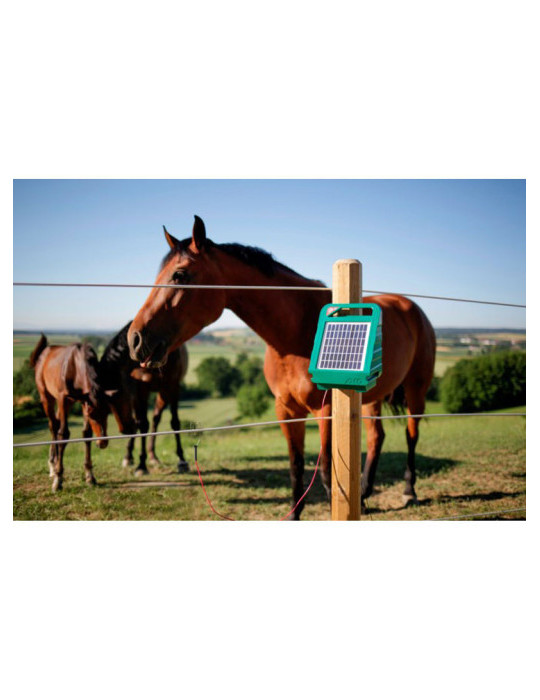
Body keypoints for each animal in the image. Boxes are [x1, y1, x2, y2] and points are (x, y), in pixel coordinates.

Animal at [30, 334, 110, 492]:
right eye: (93, 416)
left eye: (107, 414)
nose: (103, 443)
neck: (76, 366)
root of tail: (44, 352)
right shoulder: (63, 398)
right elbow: (64, 434)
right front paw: (58, 479)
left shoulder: (83, 402)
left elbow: (86, 434)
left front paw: (90, 476)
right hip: (47, 397)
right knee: (53, 426)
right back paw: (53, 467)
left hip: (67, 403)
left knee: (55, 423)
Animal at [99, 322, 189, 476]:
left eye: (117, 396)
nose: (124, 429)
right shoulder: (139, 389)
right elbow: (142, 424)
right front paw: (141, 464)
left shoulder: (172, 386)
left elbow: (175, 423)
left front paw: (182, 460)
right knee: (141, 421)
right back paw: (129, 456)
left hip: (162, 392)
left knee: (155, 418)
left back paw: (153, 456)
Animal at [127, 216, 436, 519]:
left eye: (179, 275)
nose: (135, 339)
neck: (296, 331)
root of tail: (410, 307)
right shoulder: (286, 410)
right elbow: (296, 466)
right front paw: (294, 514)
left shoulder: (325, 410)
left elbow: (326, 472)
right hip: (372, 397)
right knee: (376, 437)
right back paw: (364, 492)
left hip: (415, 390)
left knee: (412, 435)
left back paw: (409, 490)